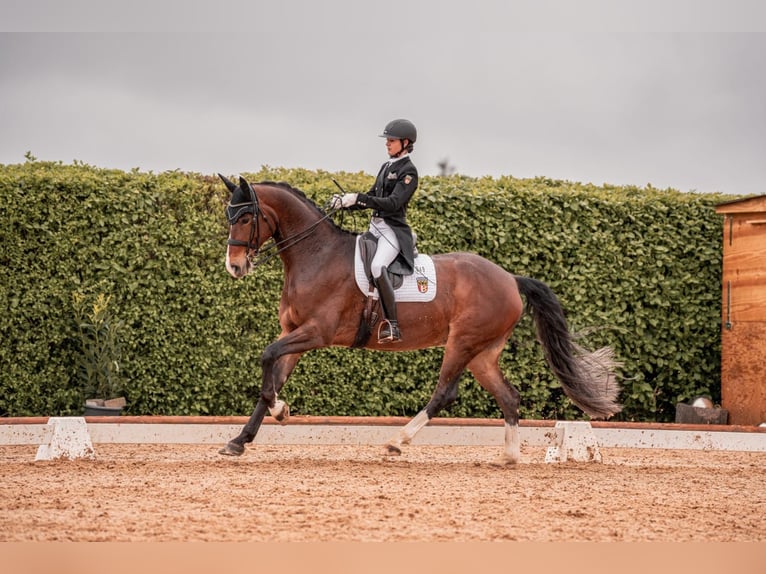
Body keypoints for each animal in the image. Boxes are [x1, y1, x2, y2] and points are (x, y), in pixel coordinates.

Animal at [218, 173, 624, 466]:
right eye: (228, 216)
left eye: (246, 217)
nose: (234, 267)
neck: (316, 255)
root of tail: (510, 278)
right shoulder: (294, 333)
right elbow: (270, 379)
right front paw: (240, 440)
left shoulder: (316, 332)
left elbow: (266, 357)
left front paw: (279, 412)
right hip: (482, 353)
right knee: (509, 397)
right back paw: (508, 457)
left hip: (462, 343)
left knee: (445, 392)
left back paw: (397, 442)